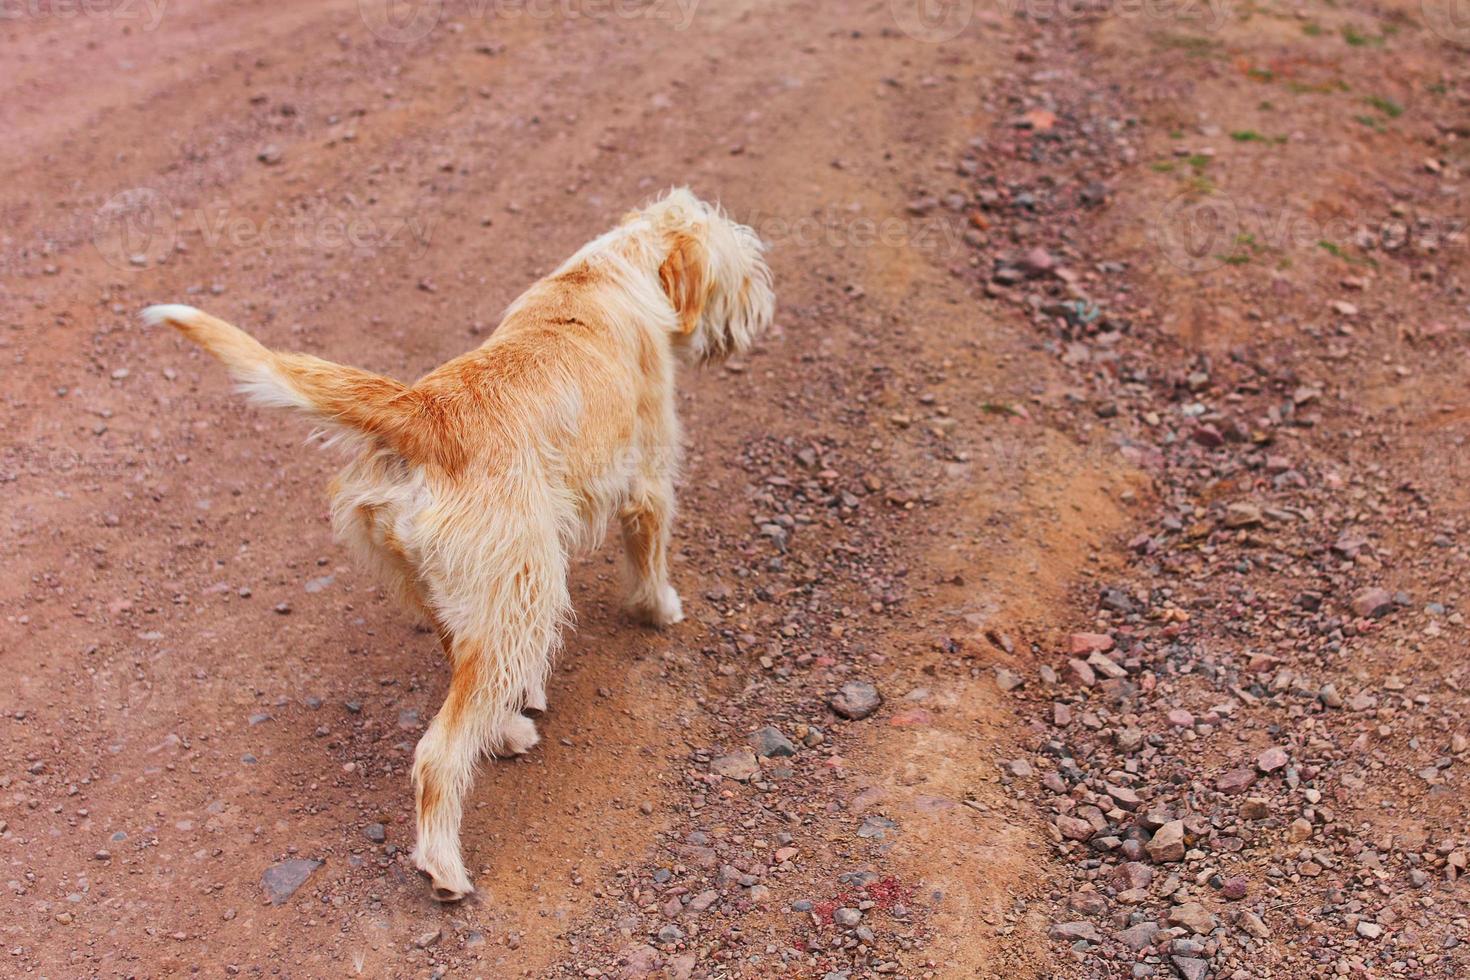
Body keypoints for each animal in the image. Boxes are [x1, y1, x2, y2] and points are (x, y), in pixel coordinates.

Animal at [143, 188, 776, 899]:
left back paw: (507, 728)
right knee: (437, 755)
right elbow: (651, 557)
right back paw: (445, 867)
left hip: (462, 597)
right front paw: (660, 610)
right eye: (740, 265)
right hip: (523, 592)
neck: (609, 271)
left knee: (474, 685)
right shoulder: (648, 481)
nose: (764, 306)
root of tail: (422, 413)